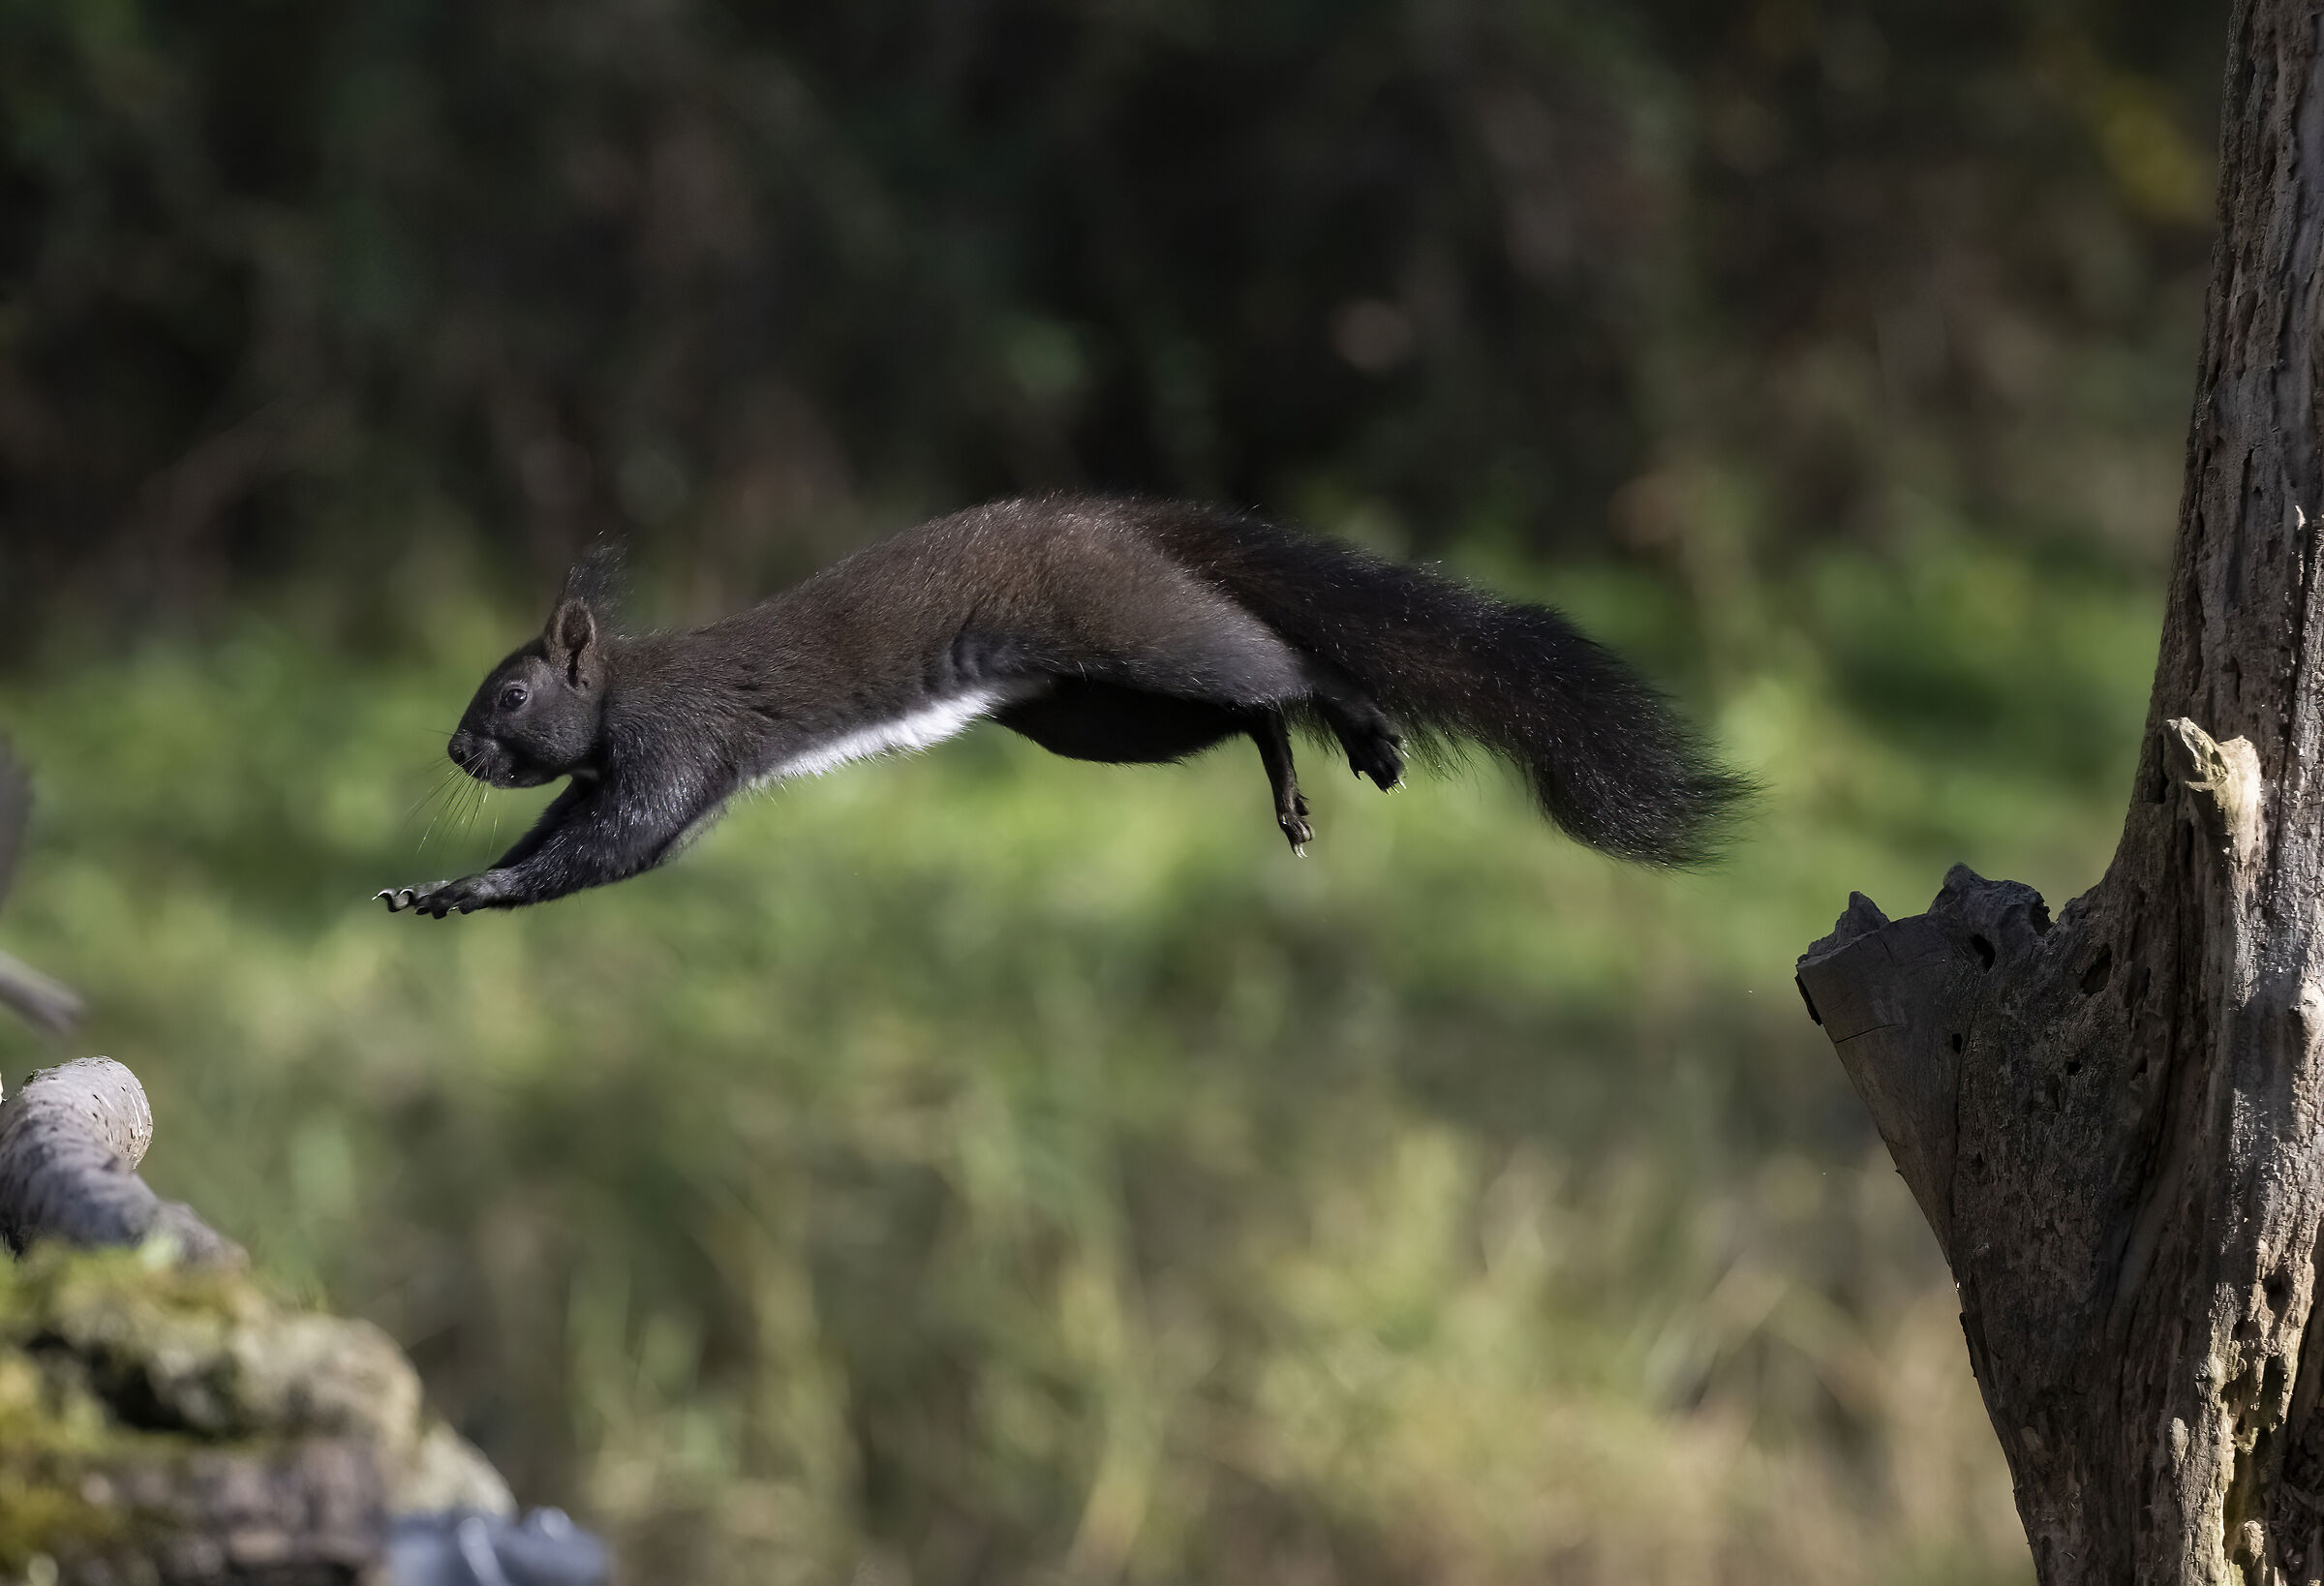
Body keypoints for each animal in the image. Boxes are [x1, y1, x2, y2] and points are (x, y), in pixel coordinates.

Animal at [378, 497, 1747, 917]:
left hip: (1137, 629)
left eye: (509, 692)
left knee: (1280, 664)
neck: (625, 685)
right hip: (1090, 715)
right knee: (1247, 708)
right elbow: (571, 842)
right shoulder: (611, 775)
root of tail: (1126, 521)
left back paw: (1360, 726)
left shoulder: (678, 745)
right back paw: (1289, 784)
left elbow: (619, 846)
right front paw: (441, 886)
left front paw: (464, 891)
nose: (452, 745)